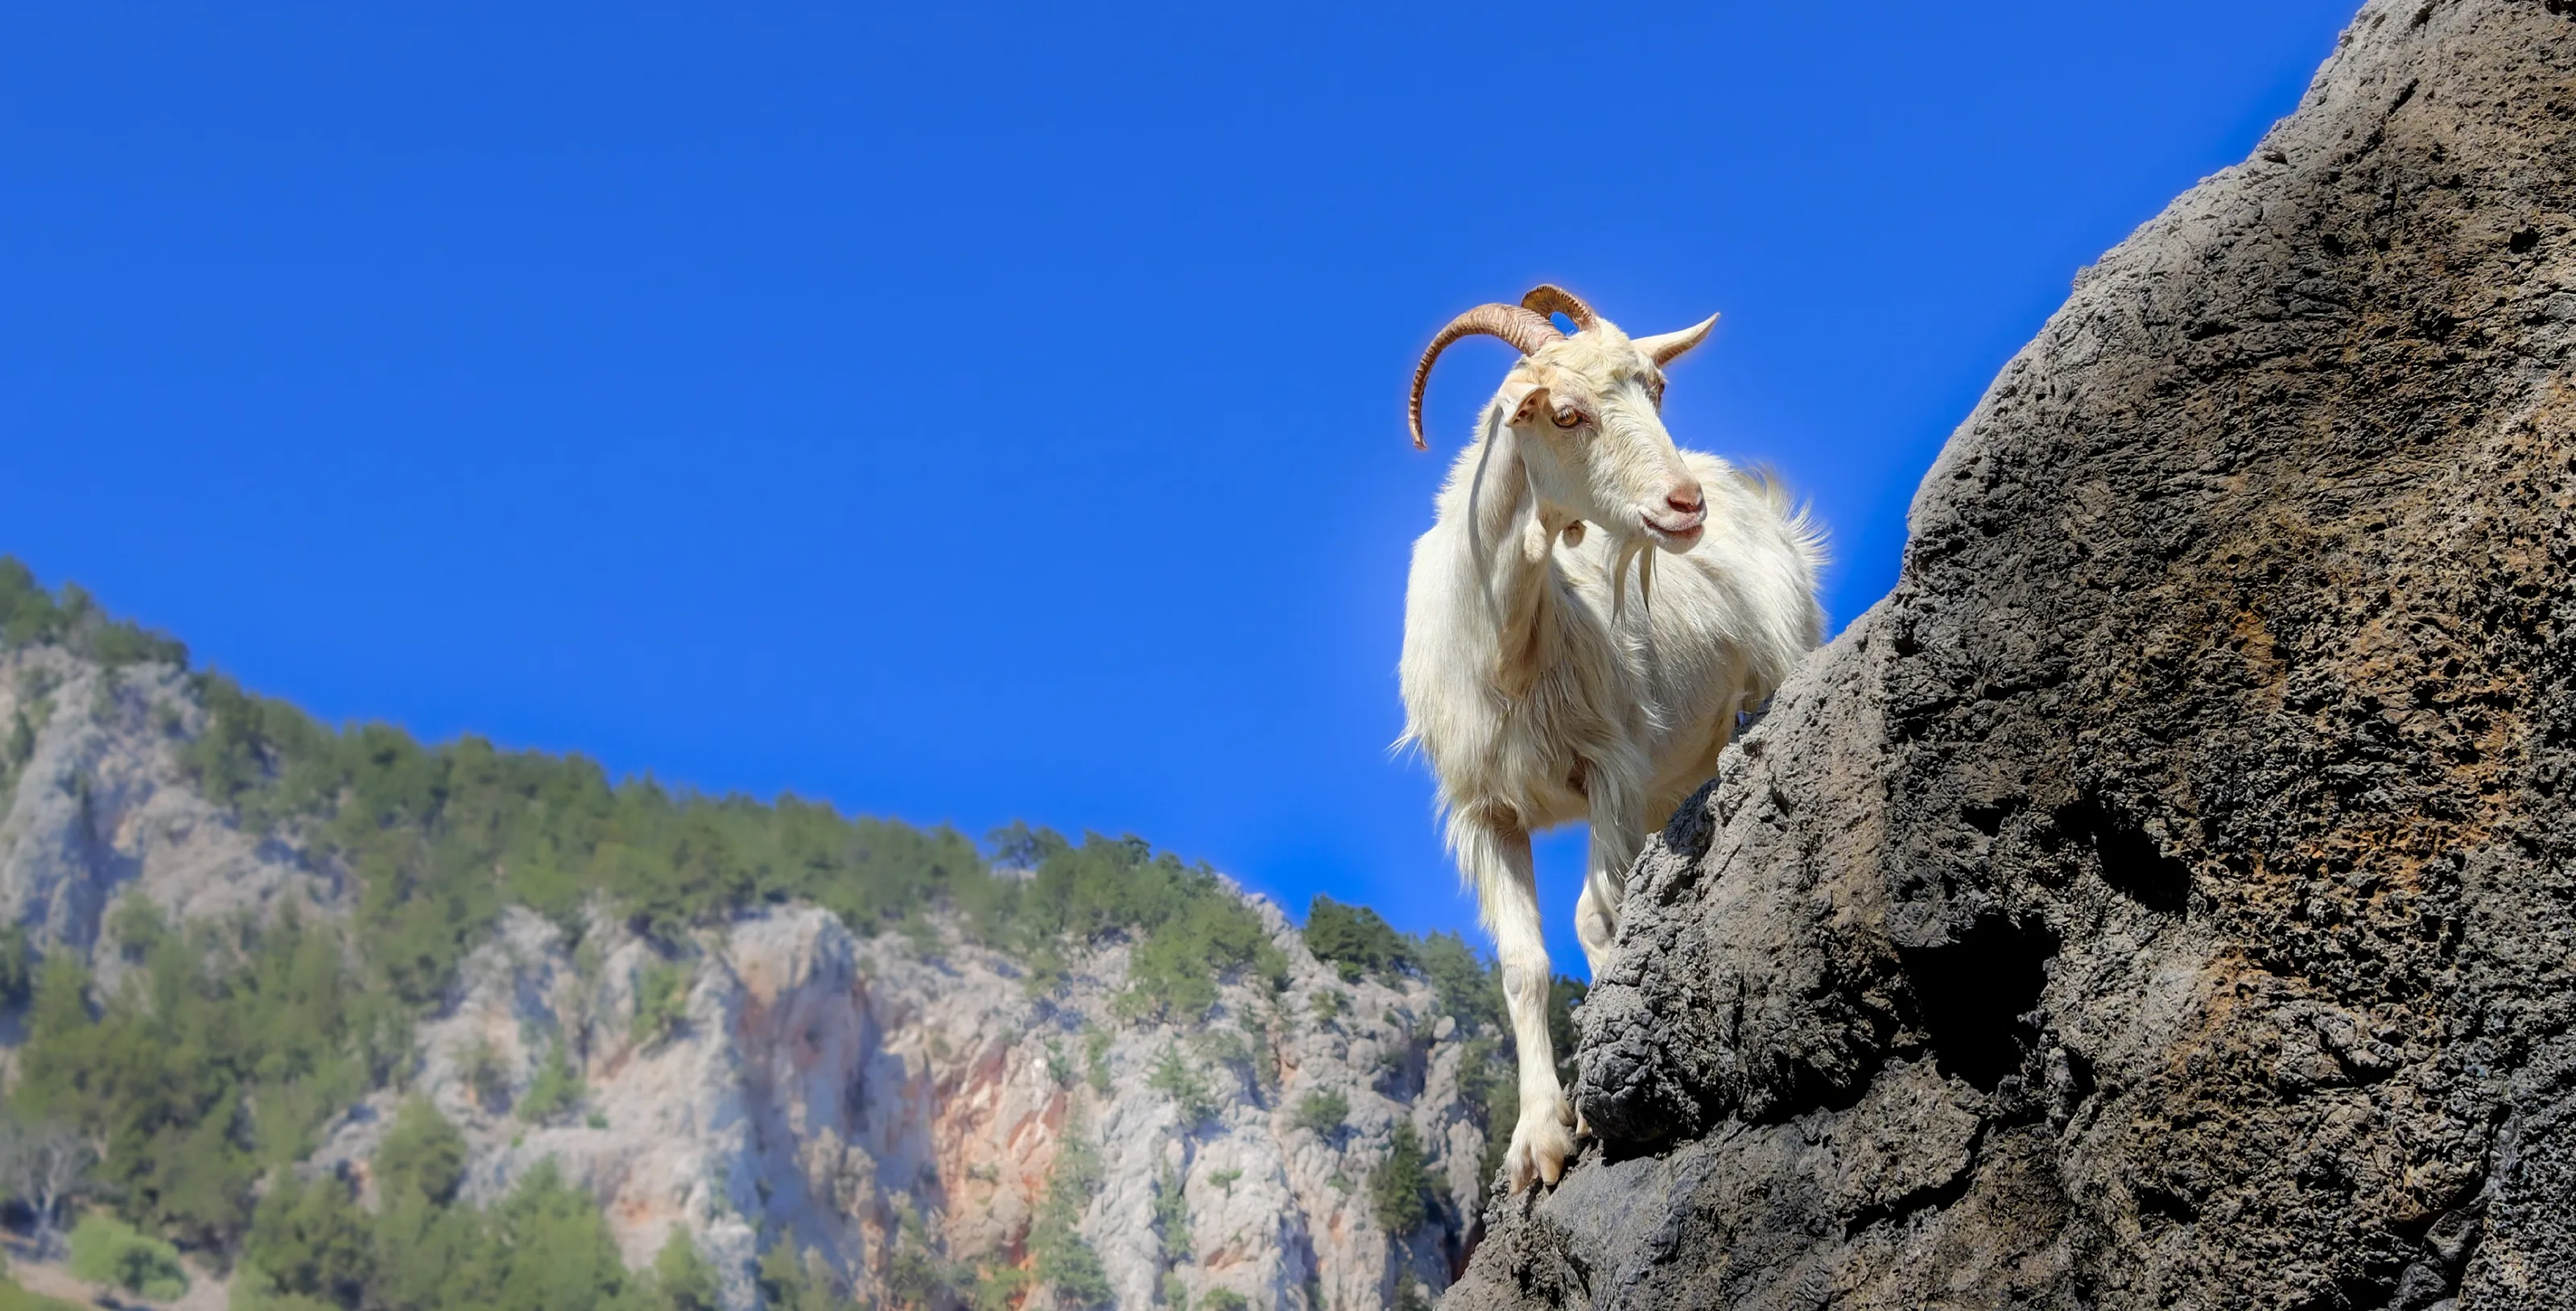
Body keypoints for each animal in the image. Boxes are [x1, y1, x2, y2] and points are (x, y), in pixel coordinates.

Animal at [1398, 286, 1824, 1192]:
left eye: (1656, 389)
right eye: (1566, 413)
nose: (1683, 504)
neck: (1507, 652)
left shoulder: (1608, 768)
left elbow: (1596, 917)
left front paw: (1602, 1088)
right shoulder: (1486, 810)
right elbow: (1522, 966)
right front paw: (1538, 1138)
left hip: (1777, 665)